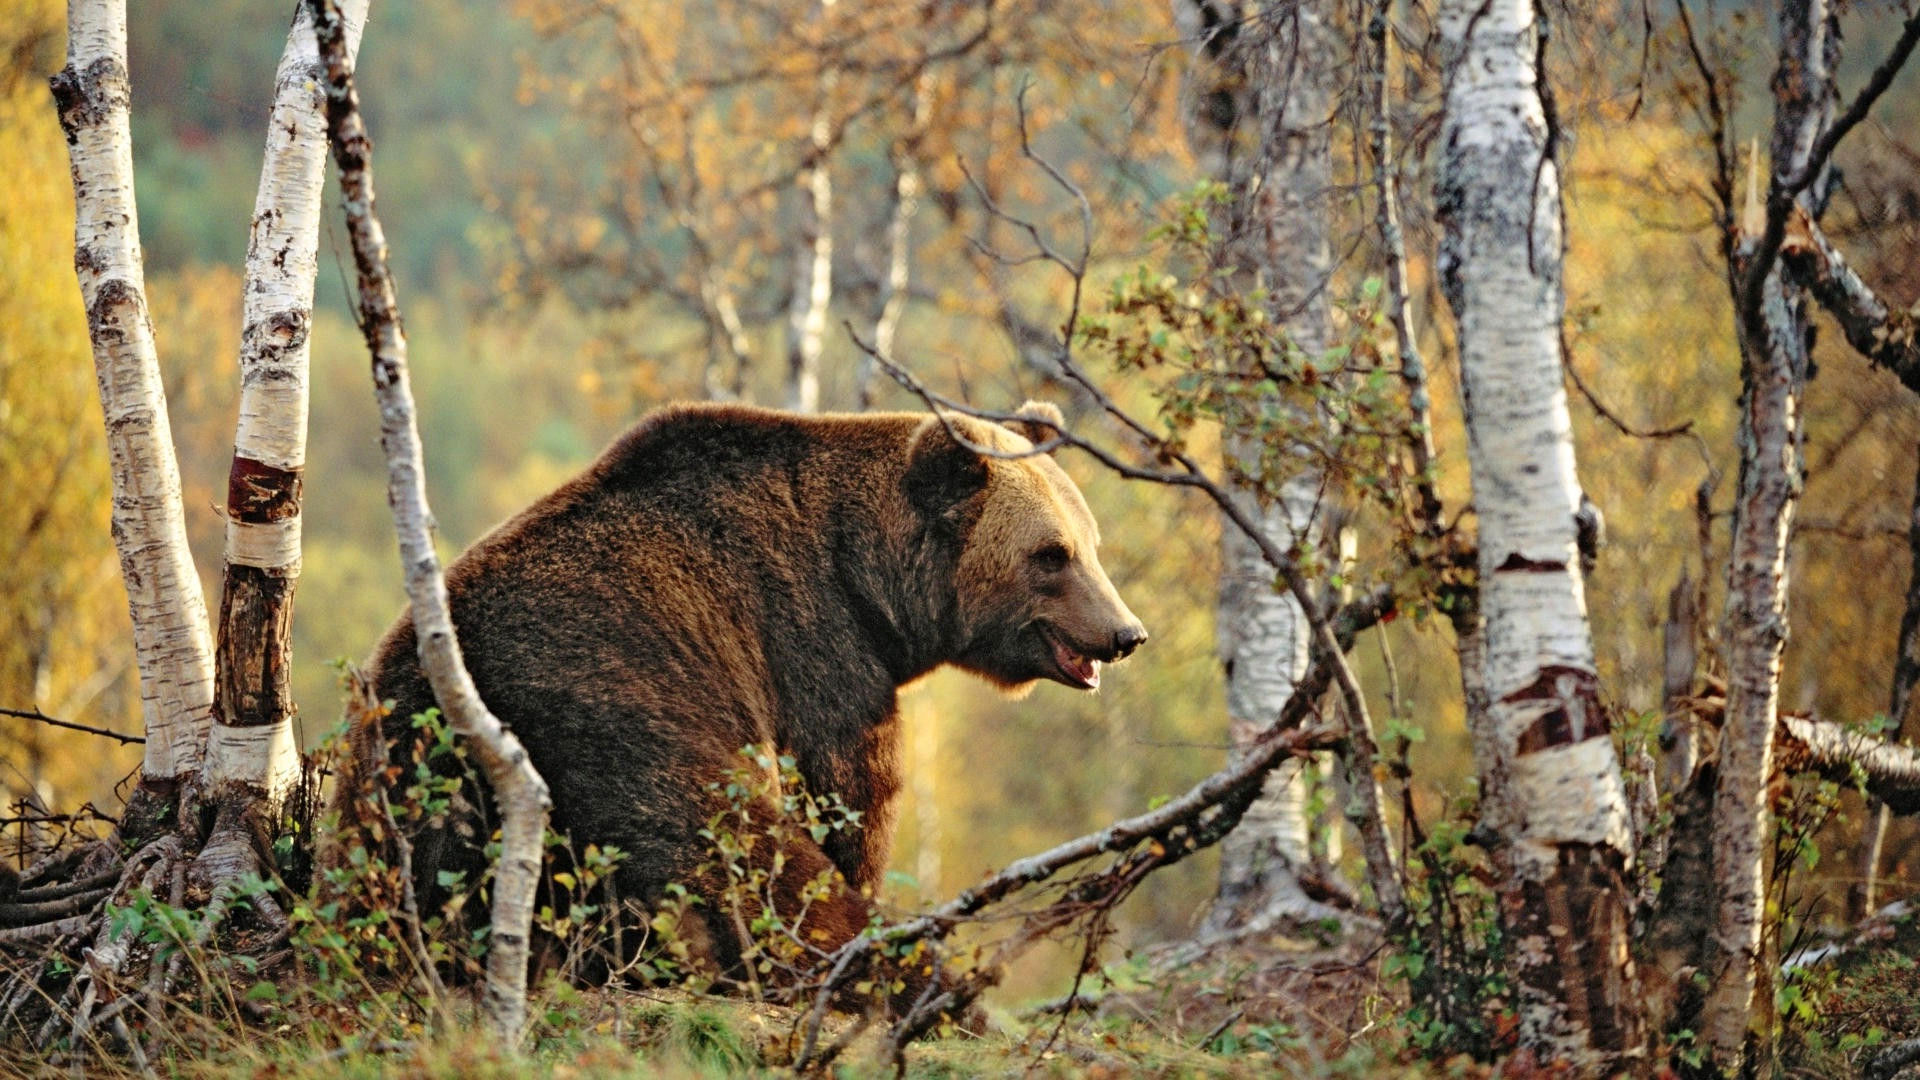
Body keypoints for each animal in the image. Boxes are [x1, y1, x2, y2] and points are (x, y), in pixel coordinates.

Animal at [349, 399, 1136, 1006]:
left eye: (1093, 542)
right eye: (1051, 554)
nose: (1125, 632)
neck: (869, 581)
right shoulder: (812, 649)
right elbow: (846, 804)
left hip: (403, 787)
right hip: (620, 727)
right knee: (746, 871)